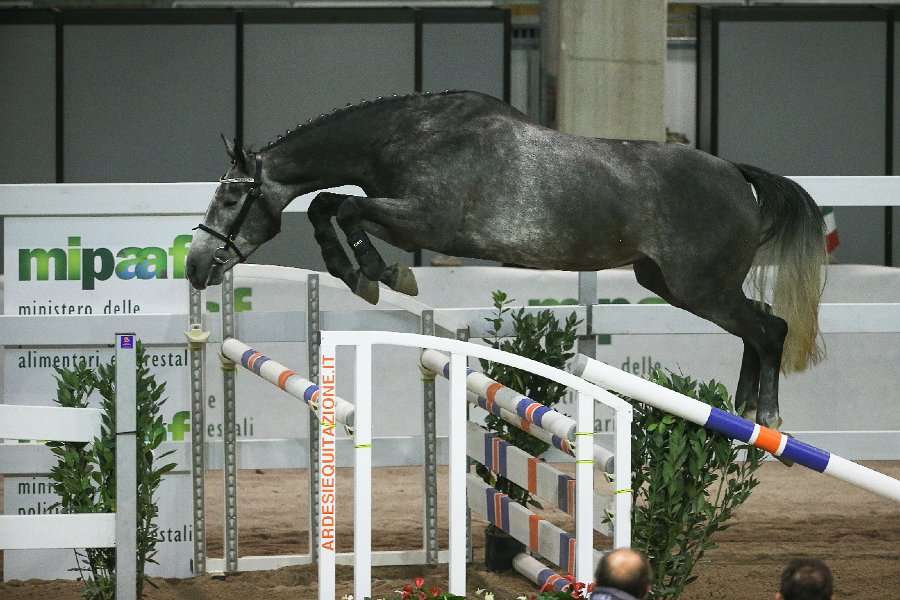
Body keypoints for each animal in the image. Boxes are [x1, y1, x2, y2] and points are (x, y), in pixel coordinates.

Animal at [186, 90, 826, 430]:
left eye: (232, 199)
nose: (195, 267)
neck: (408, 135)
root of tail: (736, 175)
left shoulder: (425, 219)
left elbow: (341, 208)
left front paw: (384, 276)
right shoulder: (402, 213)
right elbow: (329, 207)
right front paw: (361, 276)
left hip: (700, 286)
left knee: (770, 328)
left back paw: (766, 419)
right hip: (670, 282)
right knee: (755, 331)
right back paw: (741, 413)